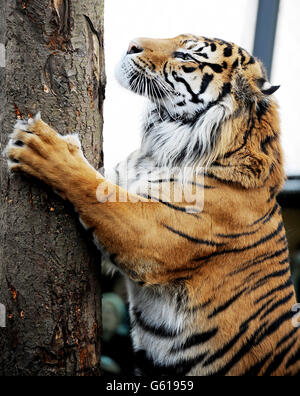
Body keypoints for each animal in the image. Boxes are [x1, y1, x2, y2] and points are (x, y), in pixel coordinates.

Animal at [4, 33, 300, 374]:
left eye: (186, 56)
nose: (131, 44)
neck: (163, 147)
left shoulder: (149, 235)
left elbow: (95, 189)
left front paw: (41, 147)